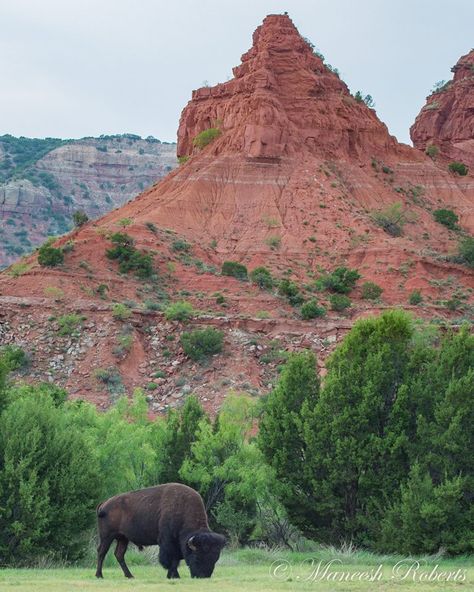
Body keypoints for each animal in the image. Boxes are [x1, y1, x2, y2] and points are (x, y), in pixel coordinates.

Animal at [96, 486, 226, 580]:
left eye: (215, 559)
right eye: (197, 557)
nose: (203, 576)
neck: (182, 509)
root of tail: (105, 503)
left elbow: (175, 560)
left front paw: (173, 576)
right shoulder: (167, 542)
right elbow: (171, 560)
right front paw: (174, 576)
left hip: (123, 538)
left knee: (119, 554)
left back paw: (130, 576)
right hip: (107, 536)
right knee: (102, 552)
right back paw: (99, 575)